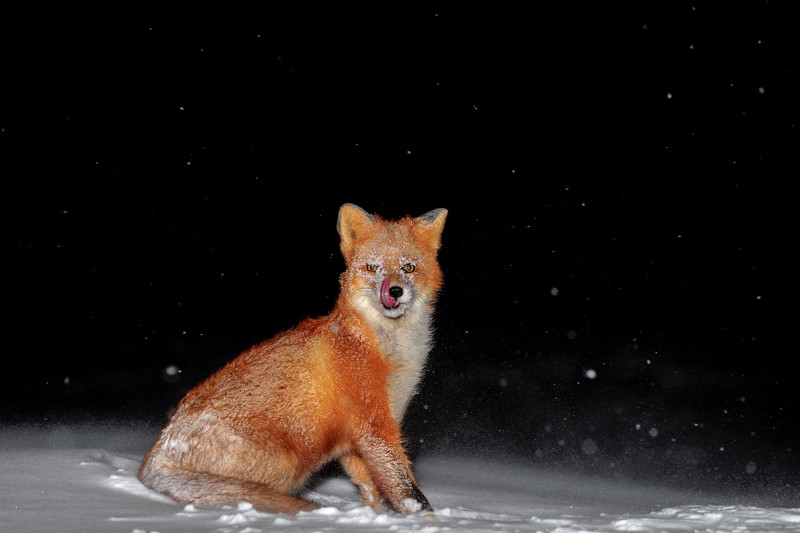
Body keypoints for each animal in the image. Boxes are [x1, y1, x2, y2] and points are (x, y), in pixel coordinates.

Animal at [140, 202, 446, 512]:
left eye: (408, 268)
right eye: (373, 268)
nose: (394, 291)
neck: (388, 349)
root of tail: (155, 455)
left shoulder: (361, 441)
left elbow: (373, 492)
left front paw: (379, 517)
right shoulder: (374, 428)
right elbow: (409, 493)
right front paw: (425, 519)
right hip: (288, 461)